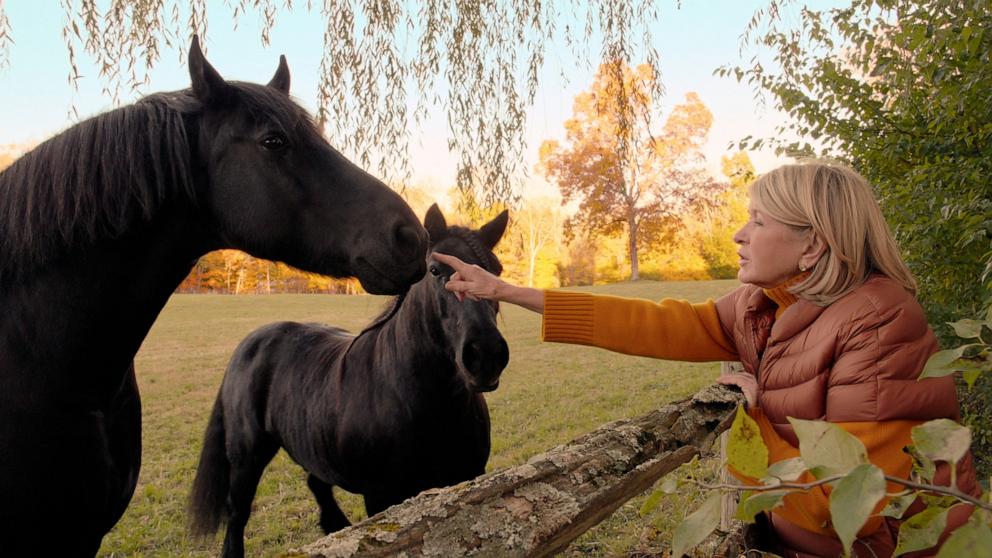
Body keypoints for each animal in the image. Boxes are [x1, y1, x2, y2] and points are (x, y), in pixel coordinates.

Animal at [189, 207, 508, 558]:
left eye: (496, 271)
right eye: (436, 270)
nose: (486, 354)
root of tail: (251, 341)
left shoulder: (469, 478)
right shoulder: (382, 497)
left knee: (316, 483)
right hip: (247, 456)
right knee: (238, 512)